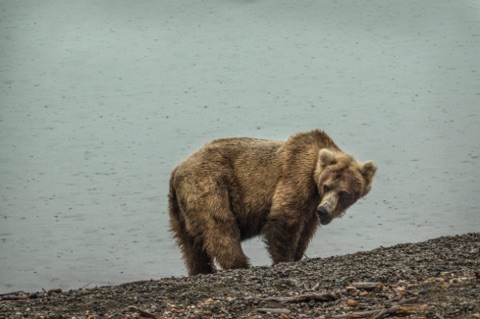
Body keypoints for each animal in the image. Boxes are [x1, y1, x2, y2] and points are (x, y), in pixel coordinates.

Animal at [171, 130, 376, 278]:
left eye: (344, 194)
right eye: (327, 186)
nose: (324, 211)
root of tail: (176, 171)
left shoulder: (311, 208)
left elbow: (305, 231)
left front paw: (297, 253)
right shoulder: (296, 175)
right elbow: (284, 219)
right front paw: (285, 259)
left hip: (180, 211)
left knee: (191, 246)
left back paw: (201, 270)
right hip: (210, 185)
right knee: (221, 228)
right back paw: (240, 264)